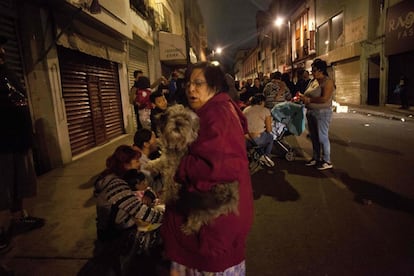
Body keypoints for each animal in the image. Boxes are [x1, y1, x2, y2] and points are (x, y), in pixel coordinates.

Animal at [146, 104, 239, 234]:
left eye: (186, 119)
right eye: (173, 116)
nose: (178, 122)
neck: (176, 144)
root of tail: (230, 199)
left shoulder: (173, 173)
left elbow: (169, 188)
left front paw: (165, 199)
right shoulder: (167, 160)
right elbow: (160, 161)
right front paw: (149, 164)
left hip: (199, 207)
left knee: (197, 221)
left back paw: (188, 228)